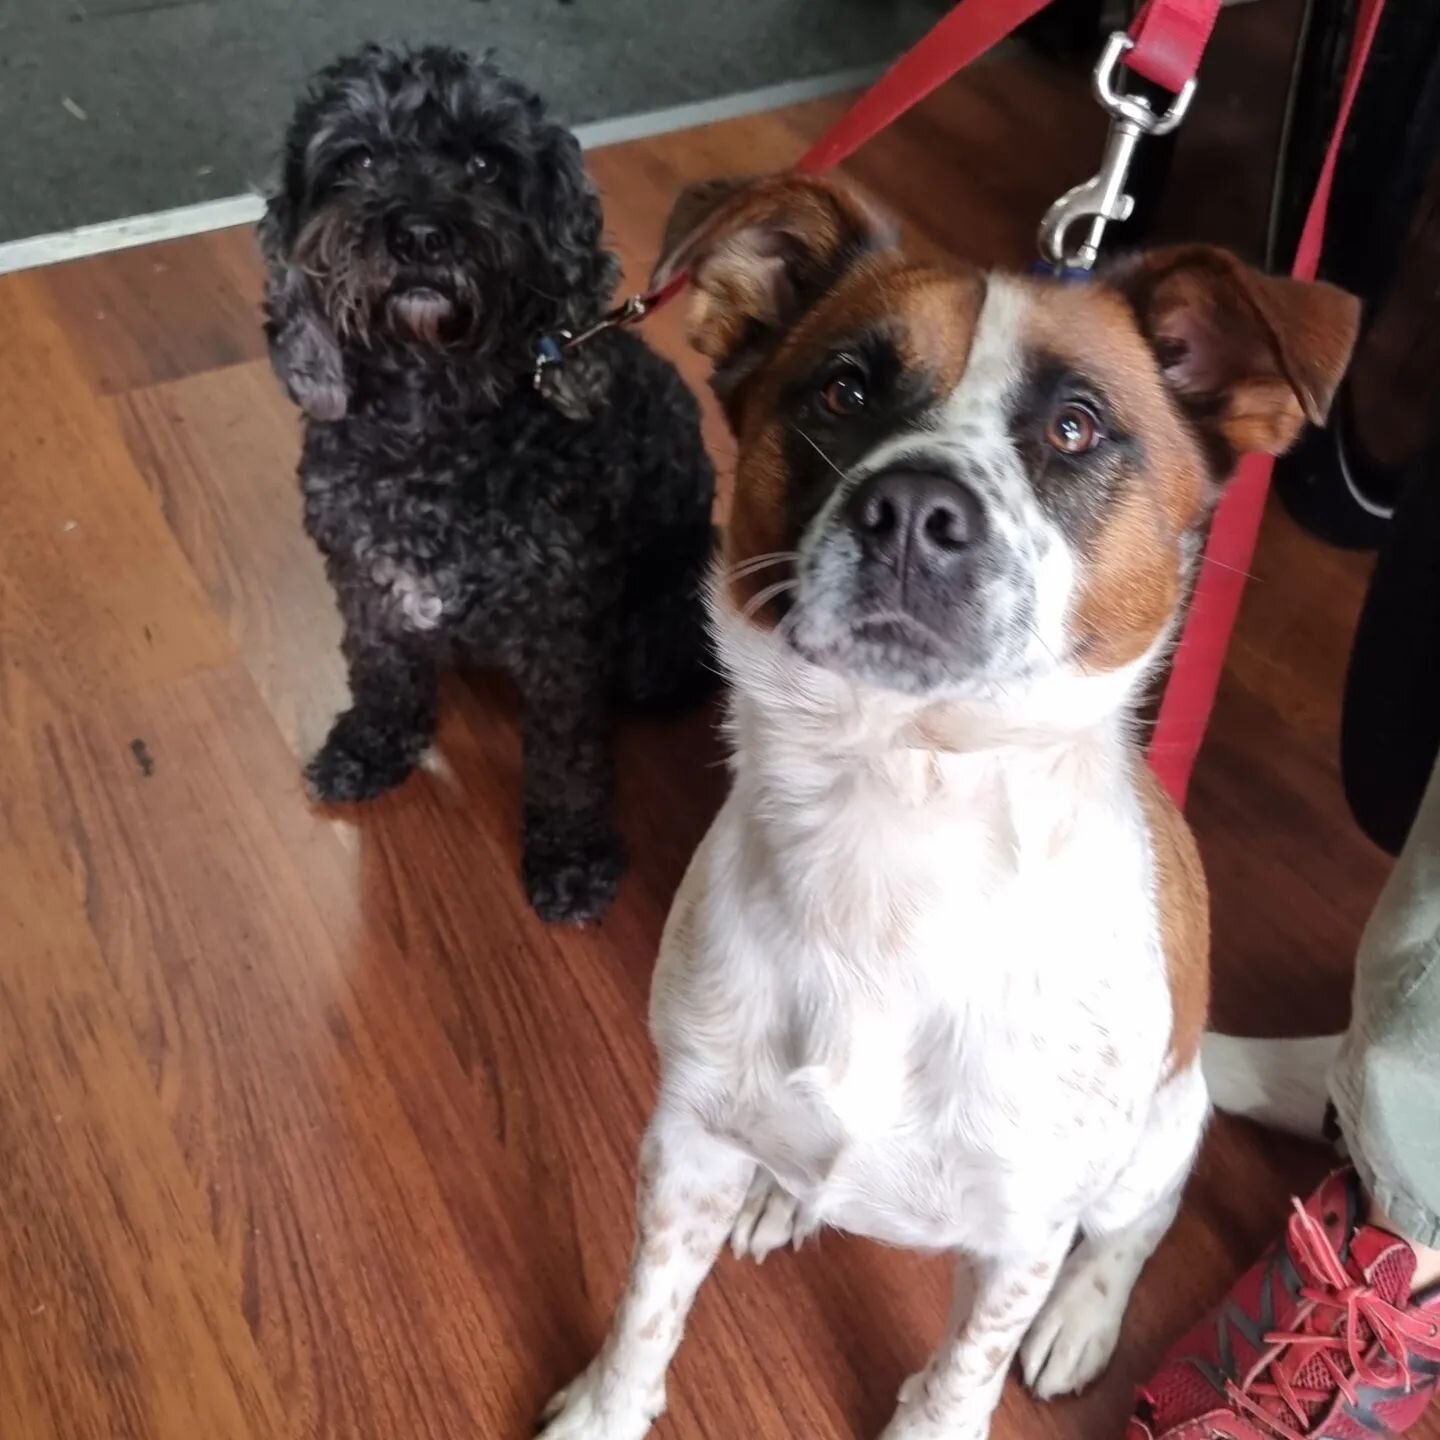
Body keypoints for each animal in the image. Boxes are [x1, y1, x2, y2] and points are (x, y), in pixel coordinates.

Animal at [259, 47, 714, 921]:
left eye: (485, 164)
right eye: (356, 161)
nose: (419, 234)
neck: (431, 433)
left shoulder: (561, 627)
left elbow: (567, 754)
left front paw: (572, 855)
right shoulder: (365, 581)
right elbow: (380, 671)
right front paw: (372, 745)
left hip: (651, 642)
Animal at [541, 174, 1359, 1434]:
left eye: (1074, 428)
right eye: (844, 388)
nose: (912, 511)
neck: (899, 812)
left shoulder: (1022, 1234)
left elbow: (958, 1375)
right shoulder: (688, 1136)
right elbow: (646, 1311)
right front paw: (605, 1411)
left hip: (1151, 1141)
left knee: (1144, 1218)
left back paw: (1087, 1316)